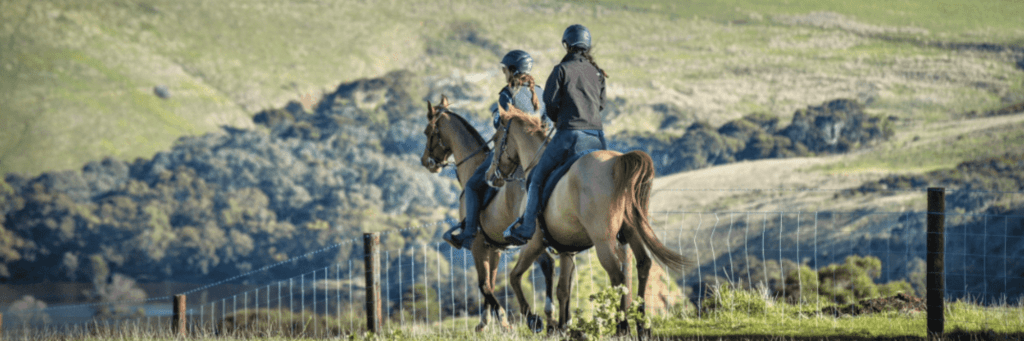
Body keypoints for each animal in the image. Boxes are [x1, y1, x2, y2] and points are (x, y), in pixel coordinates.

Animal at [417, 95, 557, 331]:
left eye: (428, 131)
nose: (426, 161)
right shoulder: (494, 247)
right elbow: (490, 282)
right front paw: (485, 321)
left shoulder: (477, 244)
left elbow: (484, 285)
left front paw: (502, 320)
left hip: (531, 239)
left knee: (545, 263)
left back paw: (537, 316)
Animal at [485, 104, 692, 335]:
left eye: (496, 139)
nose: (489, 176)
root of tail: (617, 161)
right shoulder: (566, 250)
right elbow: (563, 290)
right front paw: (564, 327)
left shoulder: (534, 243)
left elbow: (514, 276)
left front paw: (533, 319)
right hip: (631, 232)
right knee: (643, 265)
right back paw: (641, 324)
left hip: (602, 239)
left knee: (617, 276)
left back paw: (622, 326)